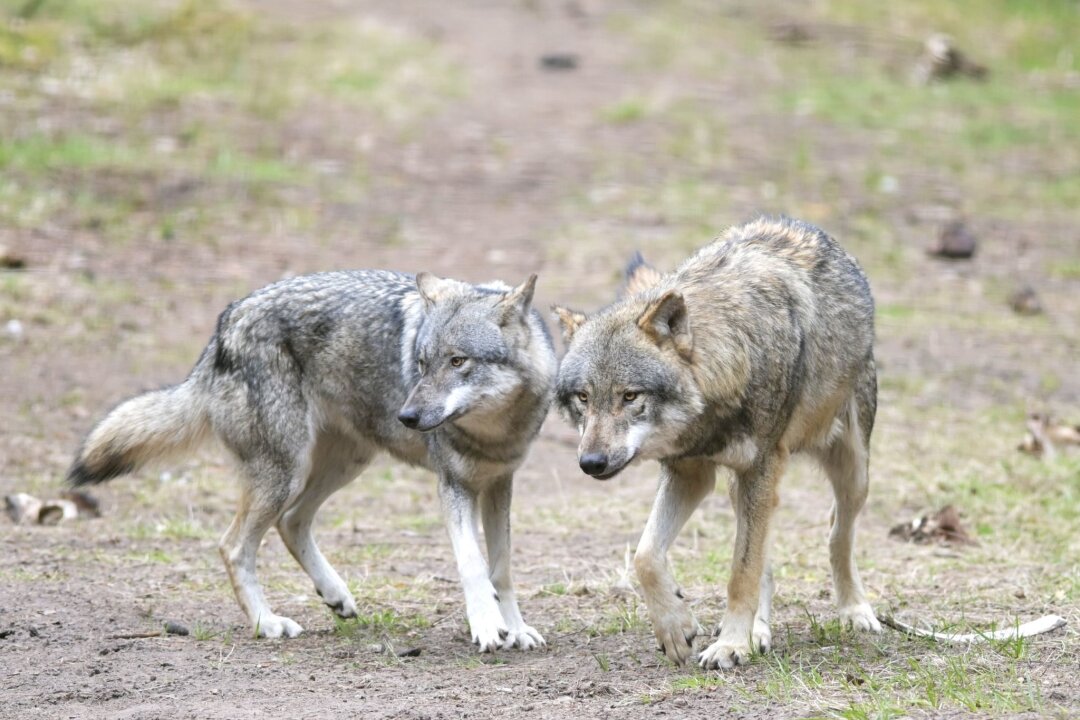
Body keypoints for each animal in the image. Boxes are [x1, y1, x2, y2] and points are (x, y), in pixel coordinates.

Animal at [69, 267, 557, 651]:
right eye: (420, 364)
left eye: (458, 361)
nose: (407, 416)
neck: (494, 431)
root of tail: (225, 323)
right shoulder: (453, 486)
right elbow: (473, 565)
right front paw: (487, 627)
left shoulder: (499, 484)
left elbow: (501, 569)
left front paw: (516, 628)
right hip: (286, 473)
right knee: (234, 545)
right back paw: (267, 623)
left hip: (343, 464)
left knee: (291, 522)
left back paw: (334, 595)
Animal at [552, 215, 881, 669]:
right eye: (583, 398)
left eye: (630, 396)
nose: (592, 463)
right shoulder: (690, 473)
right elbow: (646, 556)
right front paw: (677, 628)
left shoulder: (760, 467)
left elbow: (741, 572)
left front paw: (730, 644)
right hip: (742, 487)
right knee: (766, 559)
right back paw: (760, 631)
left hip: (852, 471)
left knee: (836, 533)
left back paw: (854, 610)